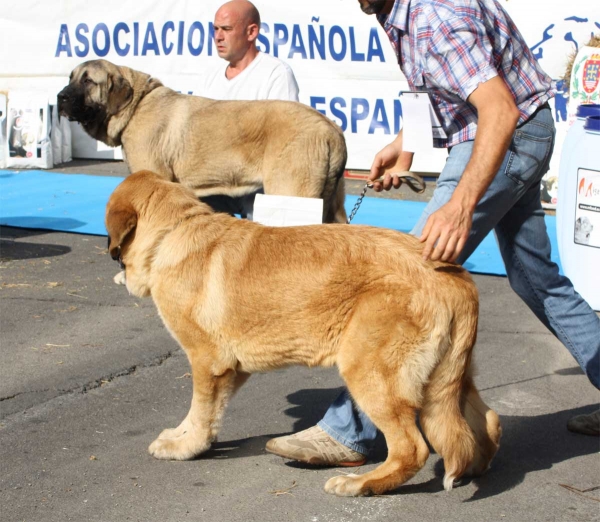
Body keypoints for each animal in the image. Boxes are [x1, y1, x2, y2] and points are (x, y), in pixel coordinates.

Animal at [57, 59, 346, 221]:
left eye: (88, 81)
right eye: (70, 78)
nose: (60, 97)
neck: (136, 105)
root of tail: (331, 129)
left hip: (291, 192)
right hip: (332, 205)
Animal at [104, 171, 502, 496]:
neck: (175, 230)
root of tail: (453, 276)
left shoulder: (207, 362)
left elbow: (200, 412)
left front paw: (187, 448)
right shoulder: (228, 370)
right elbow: (203, 413)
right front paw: (181, 437)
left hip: (370, 373)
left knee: (412, 449)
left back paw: (360, 484)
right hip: (448, 381)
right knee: (484, 424)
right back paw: (475, 469)